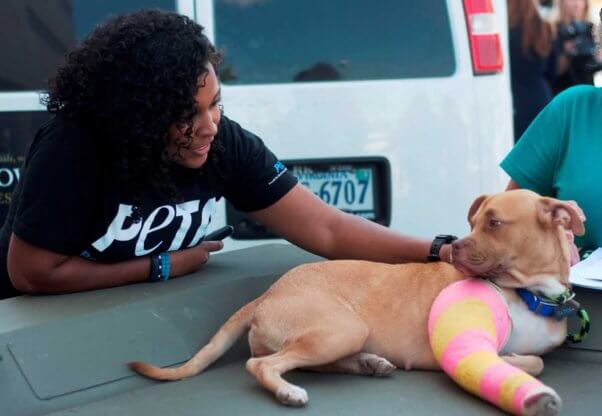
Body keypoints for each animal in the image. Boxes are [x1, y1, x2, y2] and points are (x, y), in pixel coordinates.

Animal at [130, 192, 584, 416]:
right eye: (473, 223)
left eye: (494, 223)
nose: (454, 249)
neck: (530, 293)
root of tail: (267, 294)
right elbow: (530, 362)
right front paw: (514, 365)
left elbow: (537, 357)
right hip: (342, 328)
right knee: (262, 364)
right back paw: (288, 392)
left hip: (338, 336)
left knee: (306, 361)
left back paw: (369, 363)